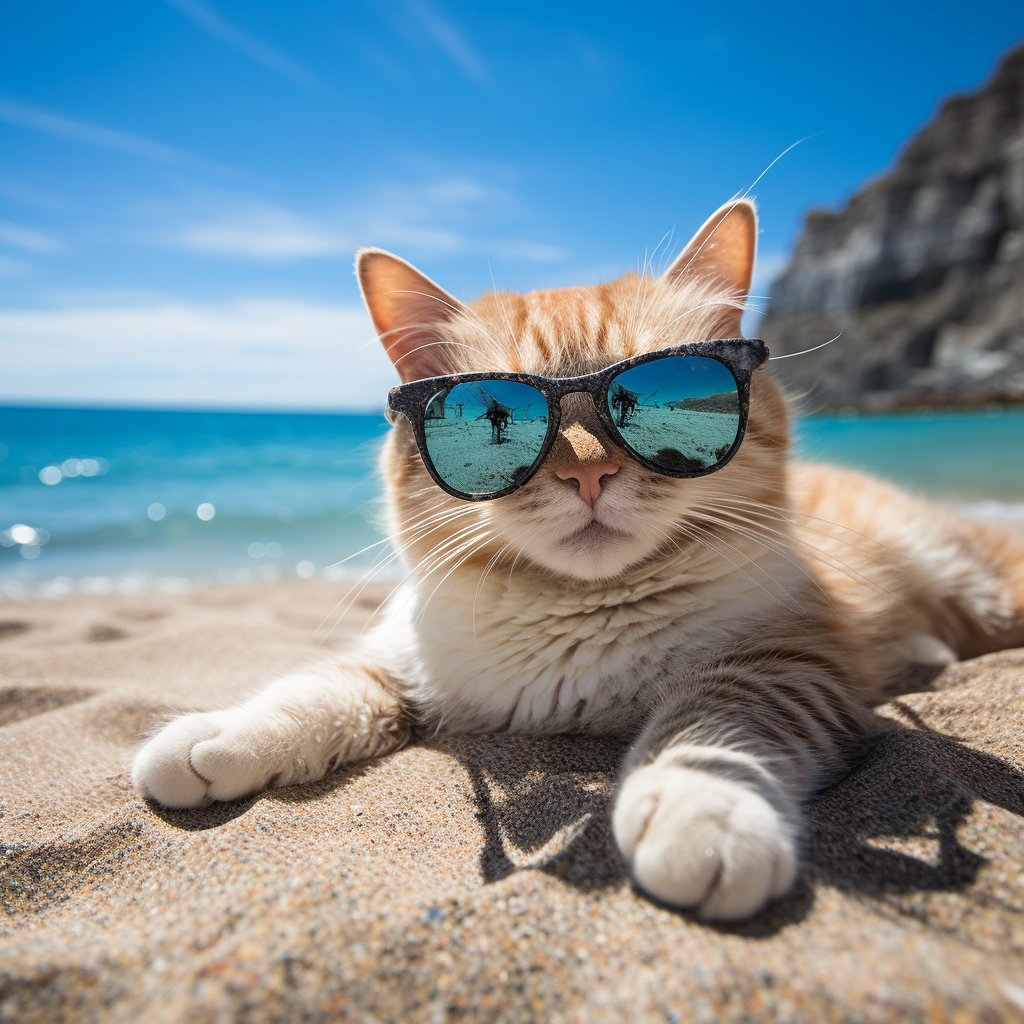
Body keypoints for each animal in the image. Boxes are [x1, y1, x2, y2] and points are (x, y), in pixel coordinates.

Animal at [134, 199, 1024, 921]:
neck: (572, 617)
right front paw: (215, 739)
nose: (587, 473)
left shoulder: (790, 663)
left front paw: (703, 808)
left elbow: (719, 718)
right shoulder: (405, 661)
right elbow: (319, 688)